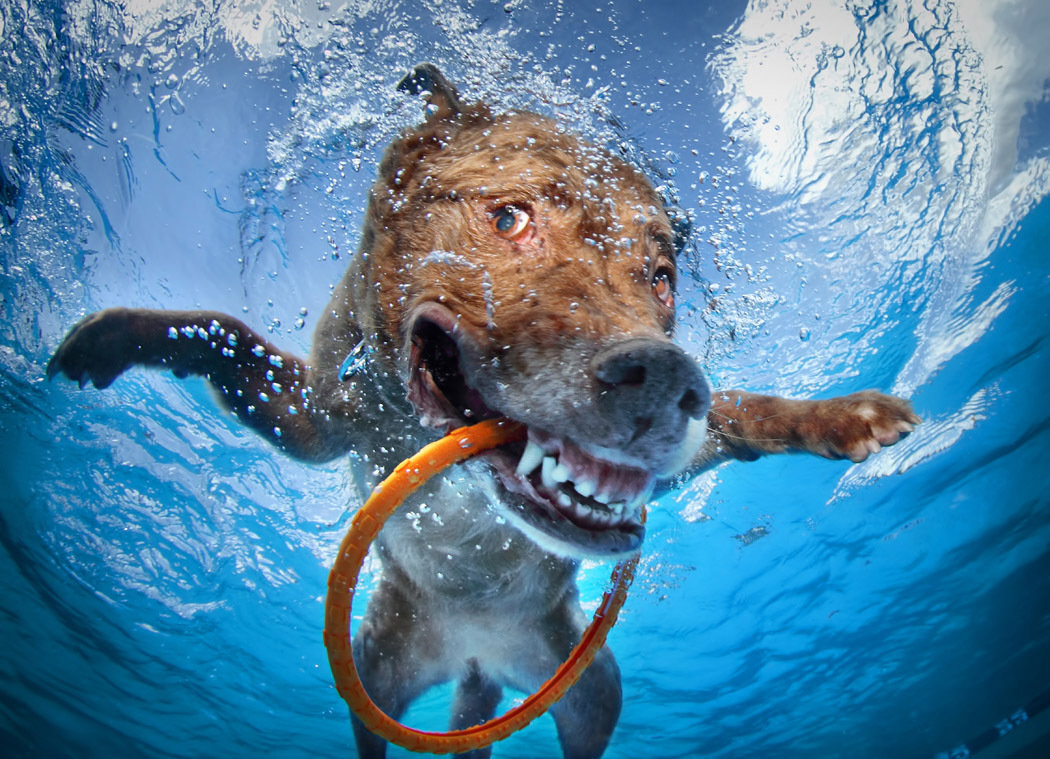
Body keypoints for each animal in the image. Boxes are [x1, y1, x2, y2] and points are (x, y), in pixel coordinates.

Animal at [49, 66, 919, 759]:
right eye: (508, 218)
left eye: (662, 276)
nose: (666, 380)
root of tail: (475, 656)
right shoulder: (318, 421)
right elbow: (224, 330)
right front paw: (114, 336)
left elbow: (740, 411)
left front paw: (845, 416)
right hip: (374, 670)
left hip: (591, 688)